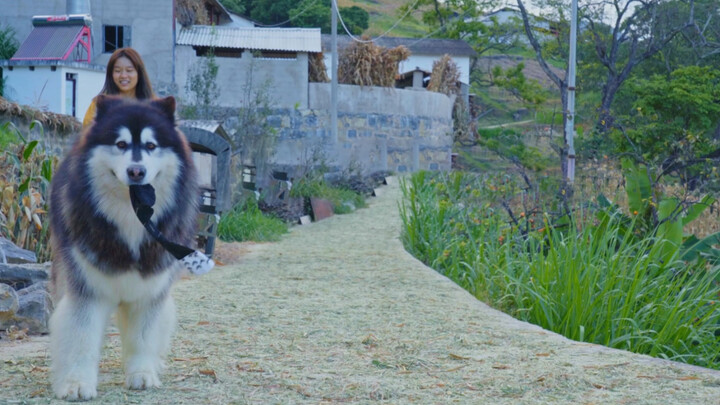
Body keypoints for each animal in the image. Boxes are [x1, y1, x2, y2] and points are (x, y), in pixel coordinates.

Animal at [48, 95, 197, 400]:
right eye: (120, 144)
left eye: (151, 146)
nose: (136, 171)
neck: (131, 217)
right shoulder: (86, 287)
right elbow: (81, 335)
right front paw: (77, 382)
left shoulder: (150, 289)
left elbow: (143, 335)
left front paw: (142, 373)